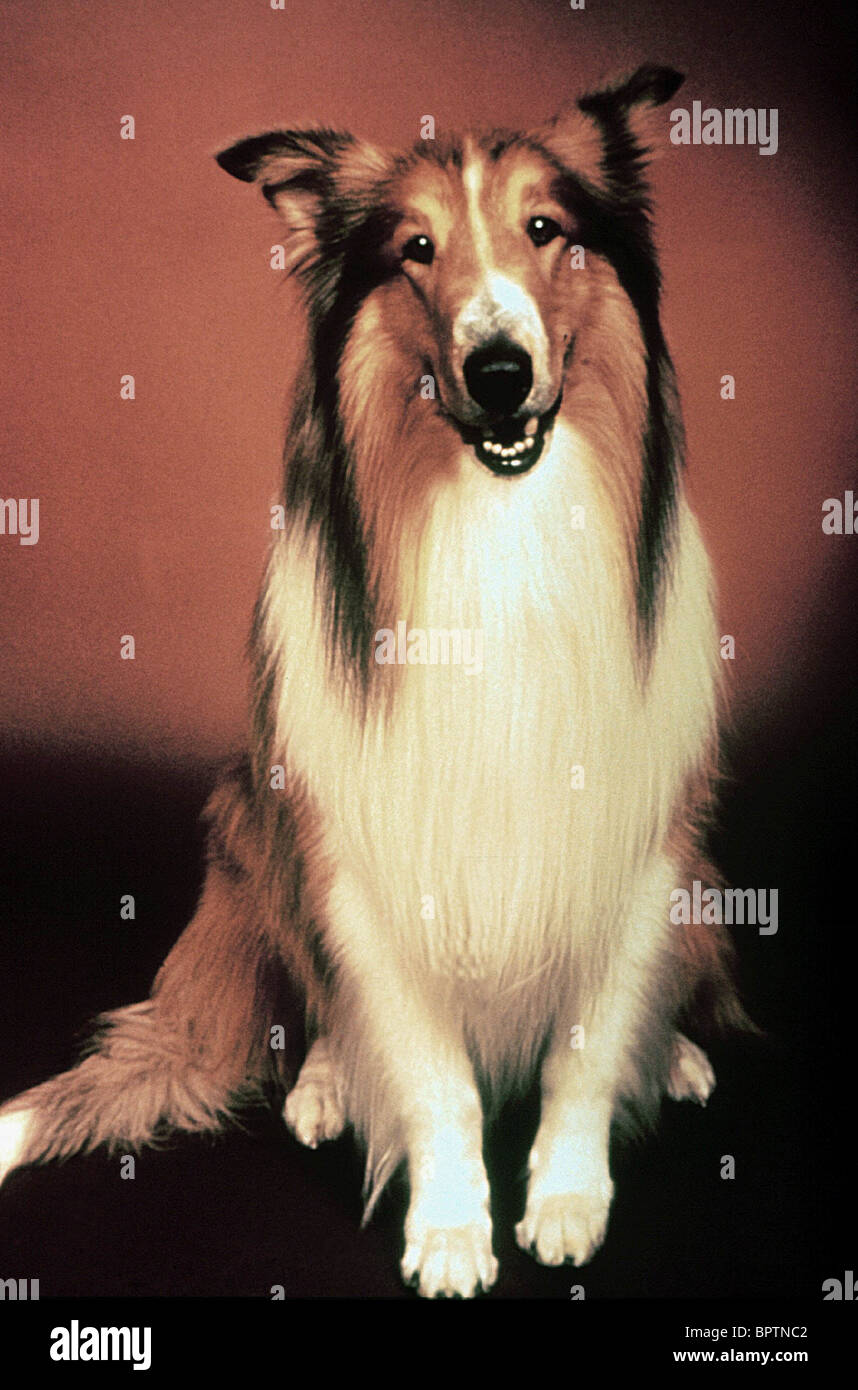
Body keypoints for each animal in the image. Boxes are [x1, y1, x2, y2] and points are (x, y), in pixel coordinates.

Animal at [0, 65, 745, 1295]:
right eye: (415, 250)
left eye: (546, 230)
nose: (500, 372)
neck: (501, 532)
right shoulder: (366, 851)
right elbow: (432, 1076)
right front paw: (447, 1228)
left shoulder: (639, 837)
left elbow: (588, 1051)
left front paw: (568, 1197)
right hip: (254, 827)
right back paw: (325, 1085)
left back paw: (677, 1055)